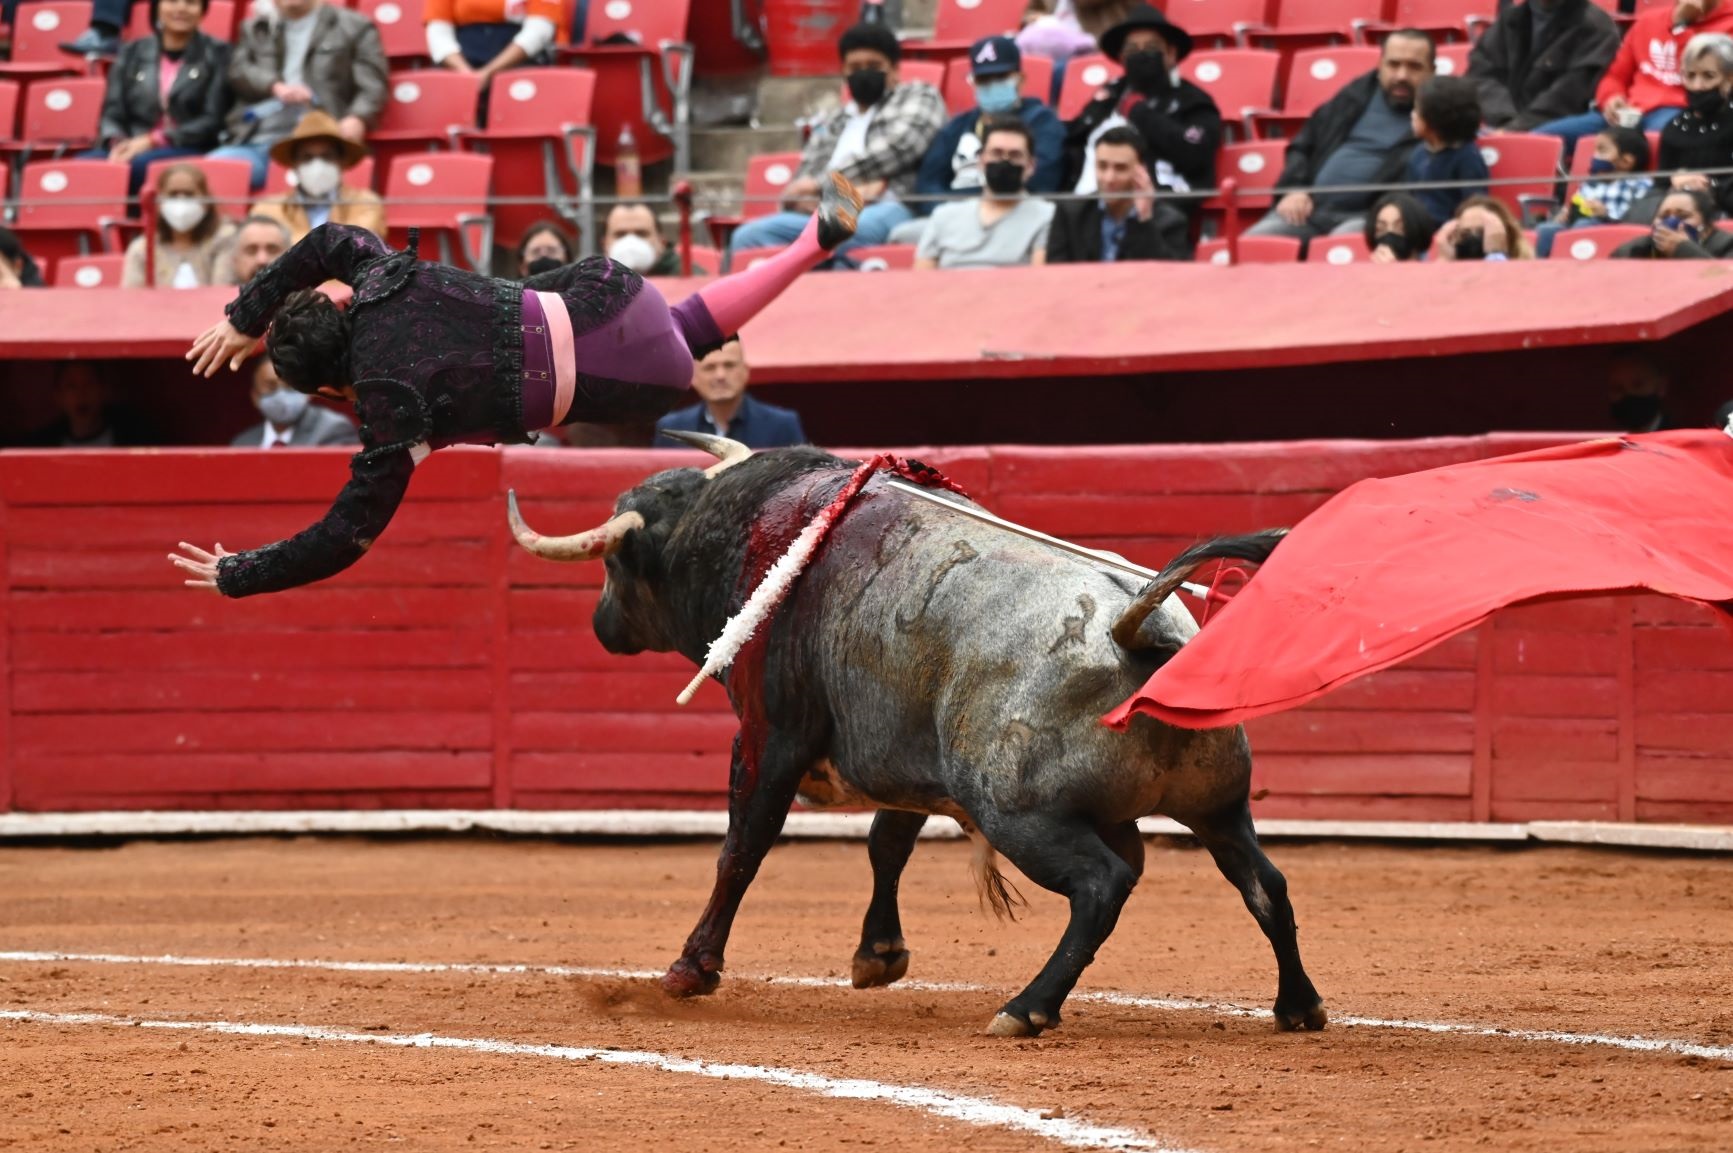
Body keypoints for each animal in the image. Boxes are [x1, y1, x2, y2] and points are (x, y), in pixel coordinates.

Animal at [507, 432, 1327, 1038]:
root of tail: (1136, 628)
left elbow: (742, 848)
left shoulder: (769, 736)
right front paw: (878, 955)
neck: (753, 526)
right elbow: (887, 842)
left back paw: (1025, 1008)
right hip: (1217, 807)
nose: (601, 625)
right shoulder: (899, 754)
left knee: (1103, 884)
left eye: (616, 564)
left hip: (1020, 813)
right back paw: (1297, 1006)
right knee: (1264, 883)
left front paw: (690, 970)